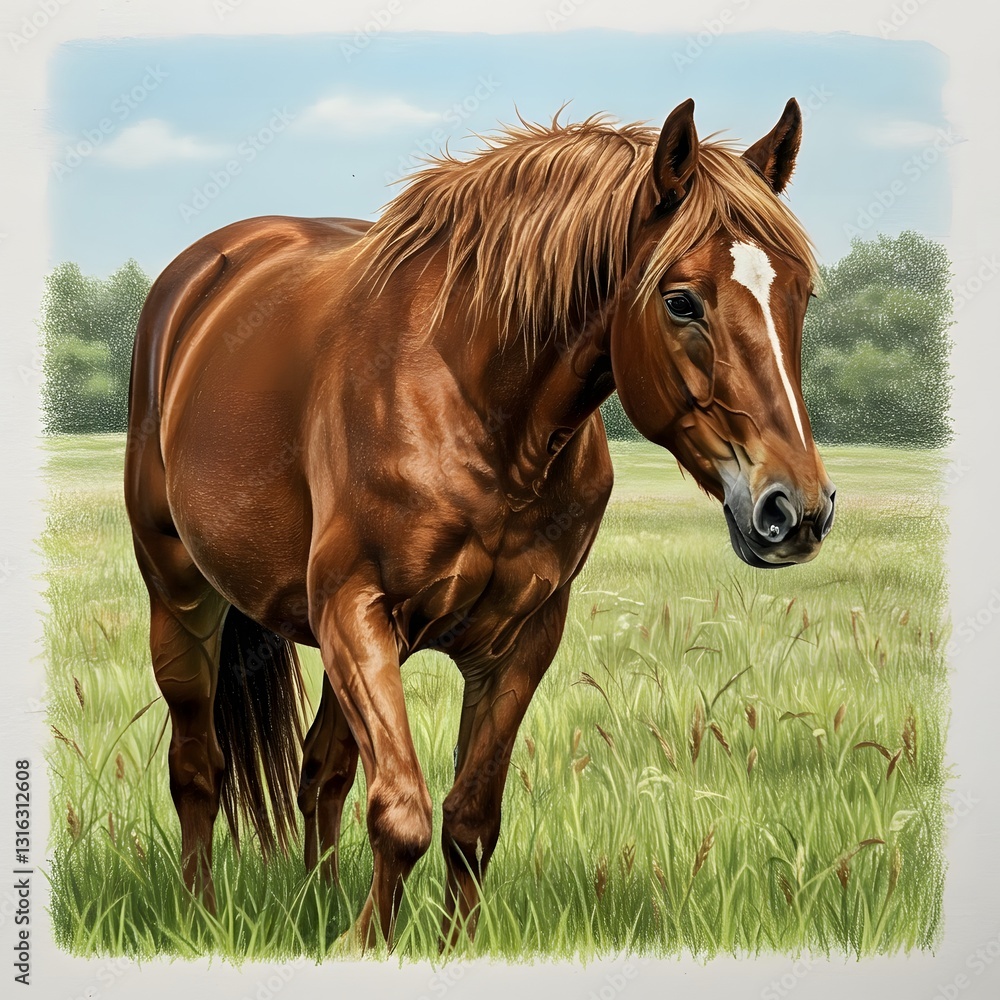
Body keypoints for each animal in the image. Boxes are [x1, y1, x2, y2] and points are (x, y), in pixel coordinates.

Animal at [124, 97, 836, 951]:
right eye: (681, 299)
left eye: (801, 294)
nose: (795, 509)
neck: (479, 408)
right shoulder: (356, 610)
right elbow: (401, 816)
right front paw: (365, 945)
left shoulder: (520, 639)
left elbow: (469, 821)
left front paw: (435, 945)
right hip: (183, 595)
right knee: (198, 768)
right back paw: (200, 914)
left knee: (321, 772)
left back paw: (315, 903)